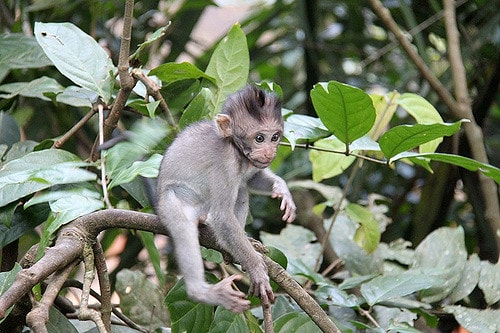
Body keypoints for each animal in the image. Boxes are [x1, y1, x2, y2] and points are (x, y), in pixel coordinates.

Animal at [156, 84, 294, 312]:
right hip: (173, 201)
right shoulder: (226, 164)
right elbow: (222, 216)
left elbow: (251, 180)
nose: (269, 152)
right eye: (259, 138)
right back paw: (201, 291)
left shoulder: (250, 163)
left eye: (275, 137)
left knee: (241, 190)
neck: (239, 153)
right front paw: (257, 269)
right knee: (184, 227)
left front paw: (281, 188)